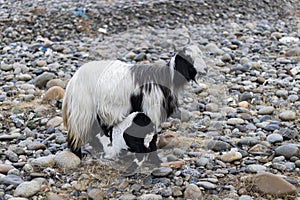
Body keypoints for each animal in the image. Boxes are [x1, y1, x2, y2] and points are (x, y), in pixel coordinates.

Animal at [61, 43, 206, 158]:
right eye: (189, 58)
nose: (205, 69)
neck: (166, 78)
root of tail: (73, 81)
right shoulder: (150, 111)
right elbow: (151, 137)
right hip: (82, 109)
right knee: (76, 134)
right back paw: (78, 154)